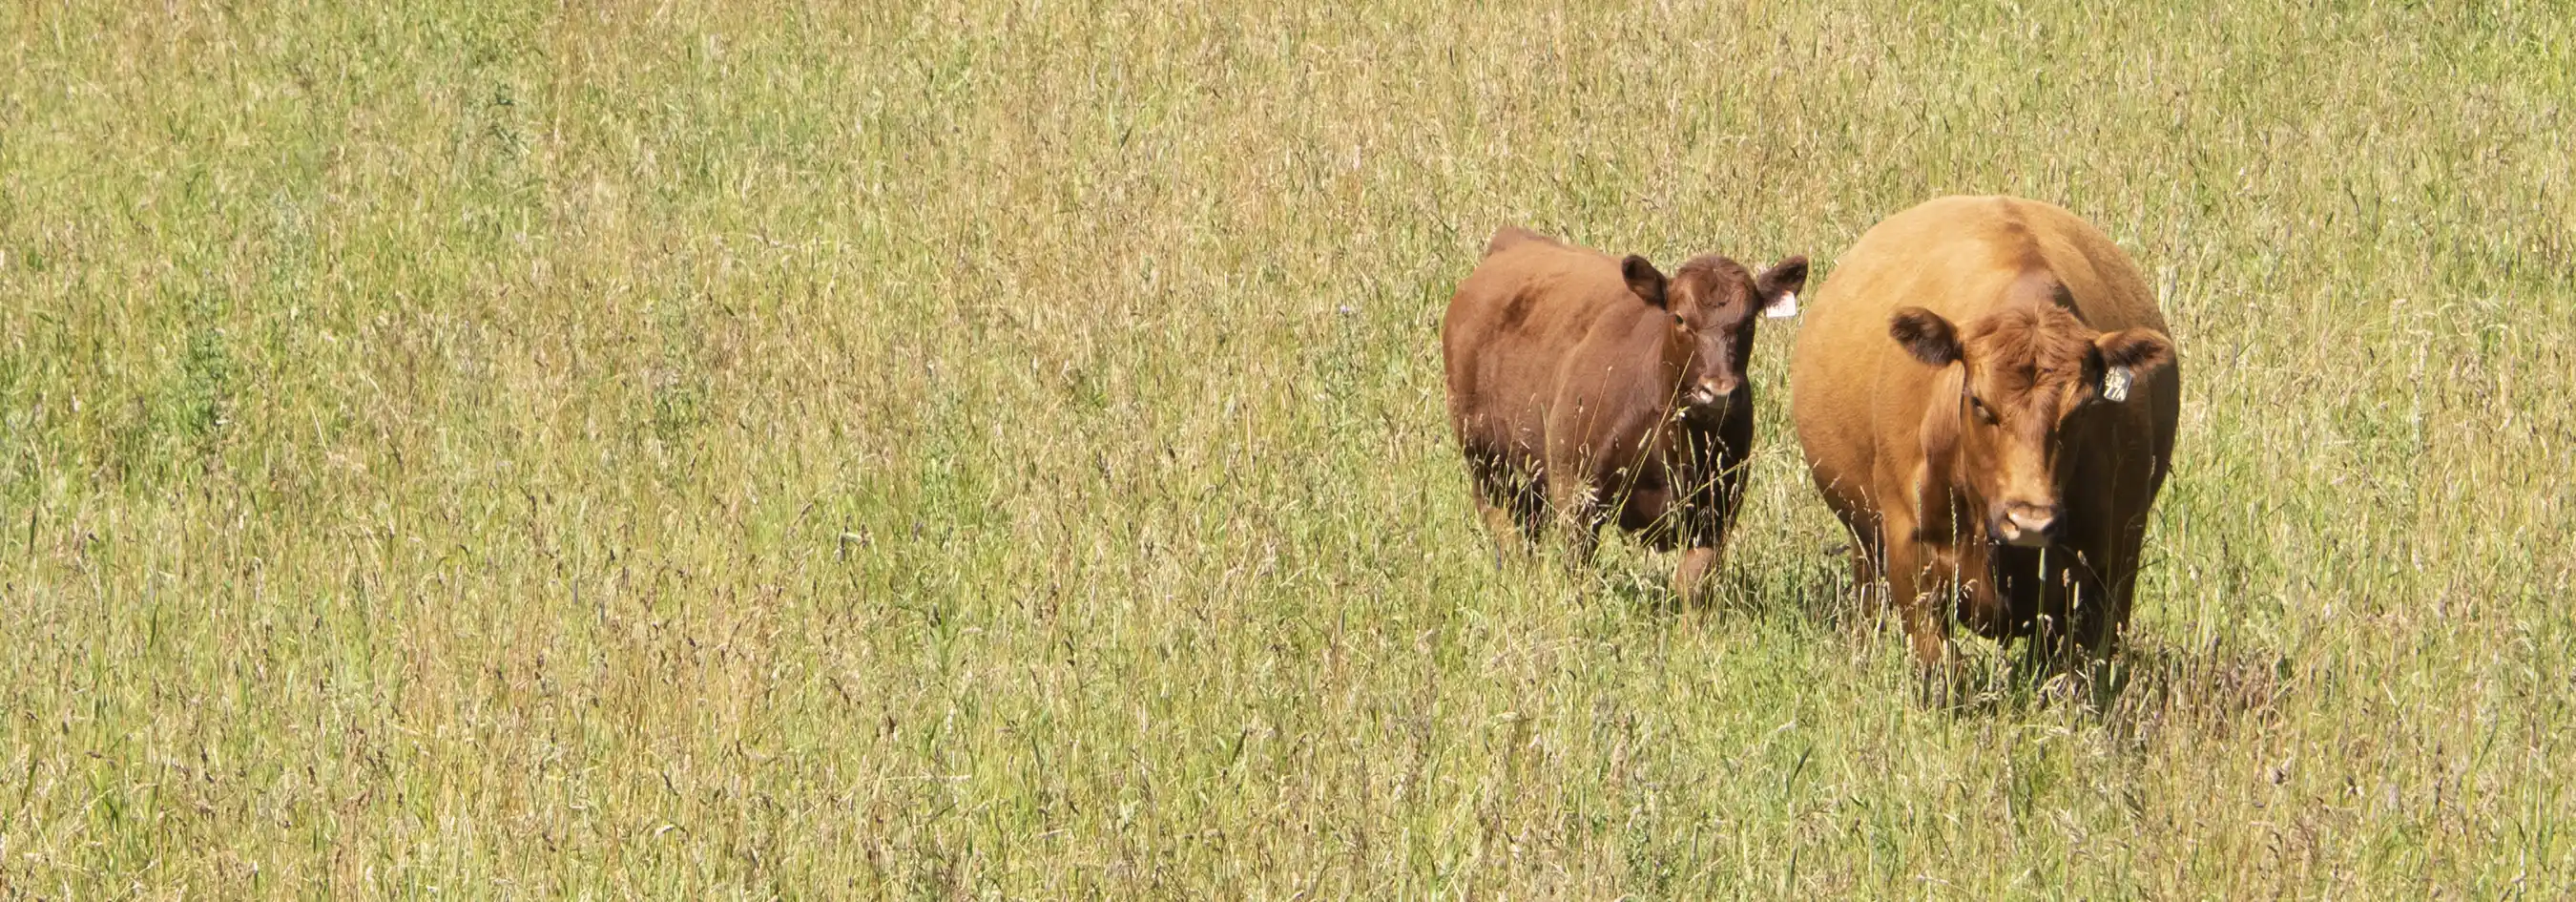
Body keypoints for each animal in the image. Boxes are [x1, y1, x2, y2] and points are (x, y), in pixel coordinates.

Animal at [1443, 226, 1806, 601]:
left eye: (1748, 322)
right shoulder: (1575, 490)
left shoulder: (1718, 505)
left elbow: (1693, 583)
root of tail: (1513, 240)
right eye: (1679, 318)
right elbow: (1578, 573)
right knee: (1501, 518)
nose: (1718, 391)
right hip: (1481, 450)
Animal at [1789, 195, 2179, 674]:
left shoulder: (2112, 562)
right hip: (1864, 540)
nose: (2030, 522)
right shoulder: (1910, 557)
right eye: (1977, 401)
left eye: (2082, 408)